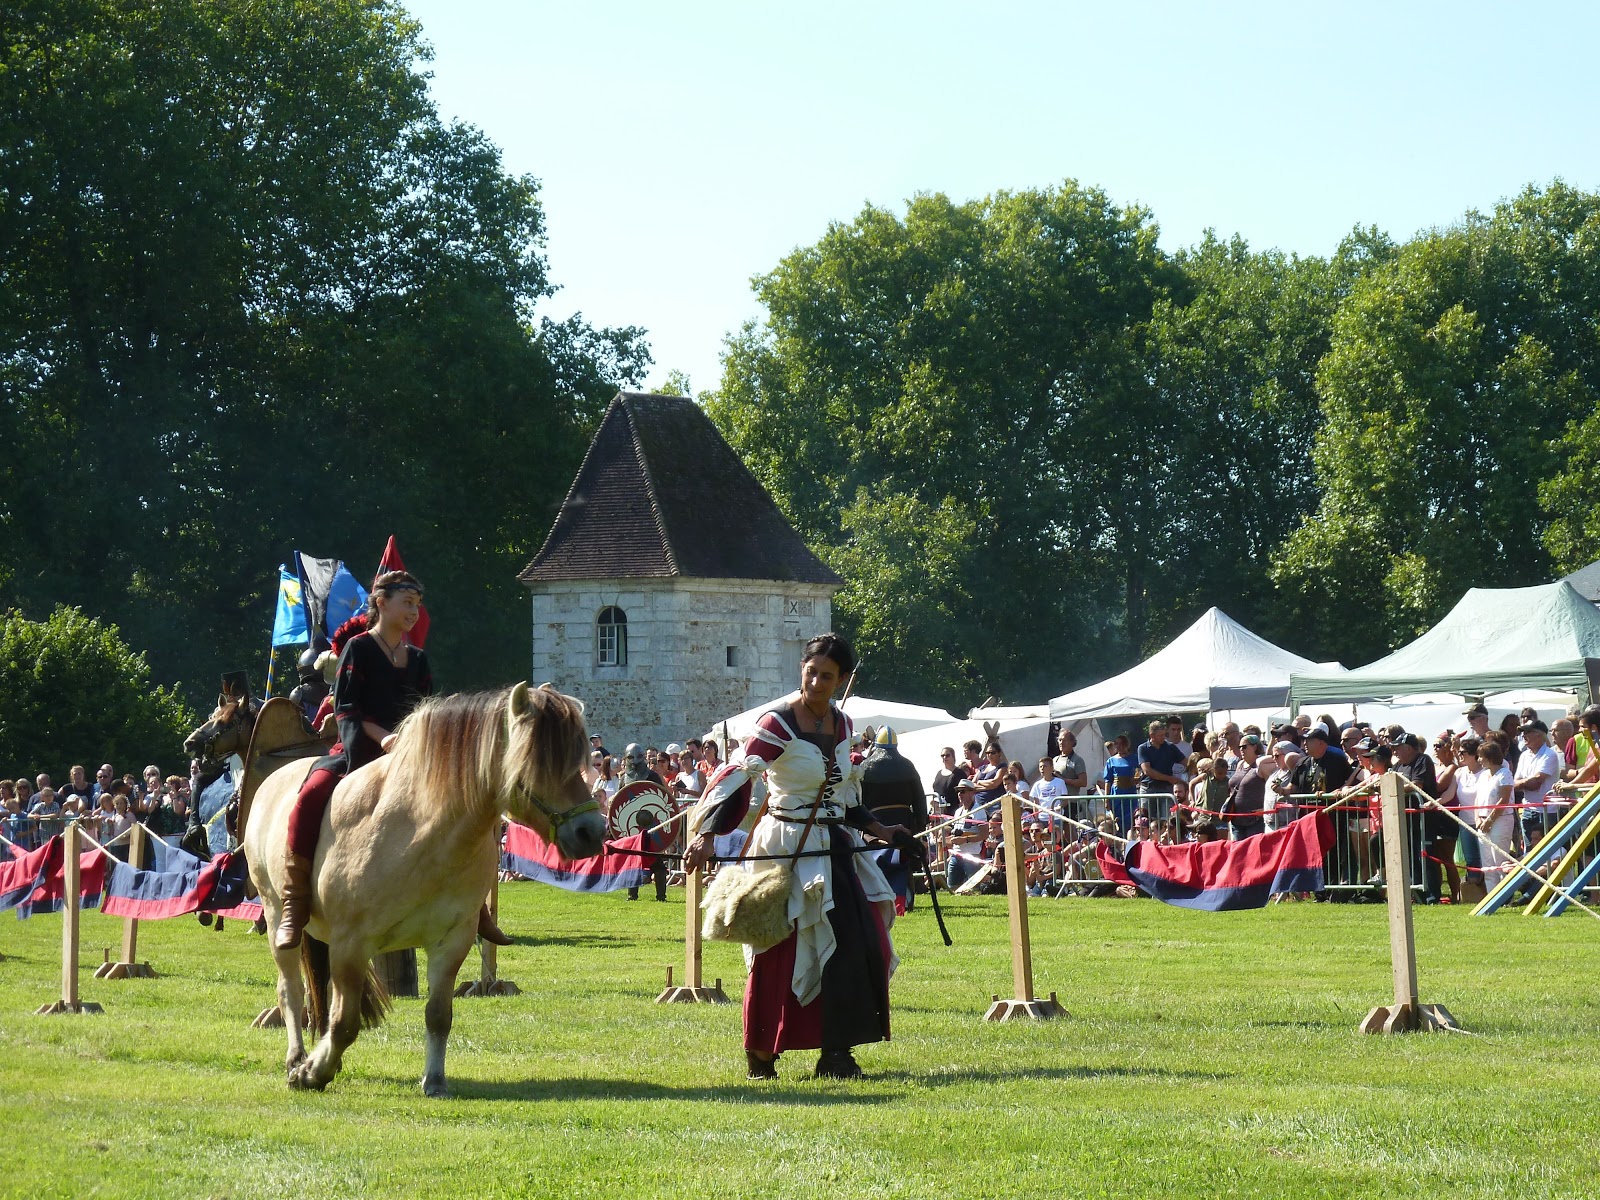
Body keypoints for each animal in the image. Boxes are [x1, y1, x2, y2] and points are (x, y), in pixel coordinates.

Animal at [244, 681, 605, 1096]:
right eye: (539, 761)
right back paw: (296, 1058)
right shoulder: (351, 945)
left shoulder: (451, 942)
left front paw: (434, 1079)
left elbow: (438, 1015)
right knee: (290, 990)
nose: (591, 831)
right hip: (277, 918)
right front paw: (313, 1072)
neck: (417, 832)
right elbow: (345, 1022)